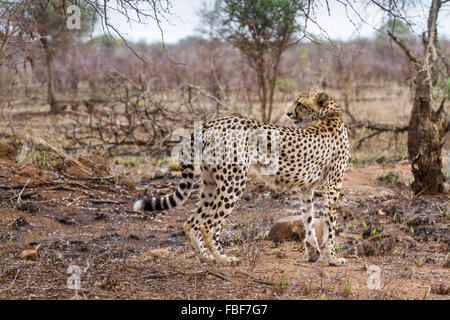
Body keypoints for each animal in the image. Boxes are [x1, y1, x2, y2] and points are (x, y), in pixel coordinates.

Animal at [134, 91, 352, 266]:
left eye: (299, 103)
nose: (289, 114)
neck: (328, 115)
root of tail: (212, 122)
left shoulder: (307, 187)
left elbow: (309, 220)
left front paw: (313, 253)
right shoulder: (333, 185)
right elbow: (330, 226)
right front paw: (333, 258)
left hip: (211, 183)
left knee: (191, 223)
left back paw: (206, 258)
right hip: (234, 182)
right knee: (208, 225)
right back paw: (224, 259)